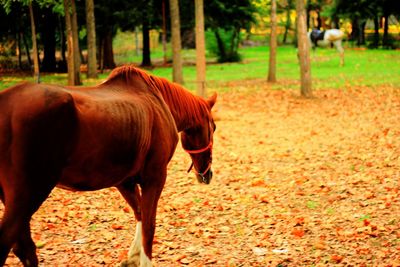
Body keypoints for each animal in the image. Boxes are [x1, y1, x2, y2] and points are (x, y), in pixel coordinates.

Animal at [0, 66, 216, 266]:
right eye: (213, 127)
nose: (207, 174)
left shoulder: (125, 181)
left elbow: (139, 213)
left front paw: (133, 256)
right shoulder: (155, 177)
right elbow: (149, 224)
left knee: (25, 248)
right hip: (27, 197)